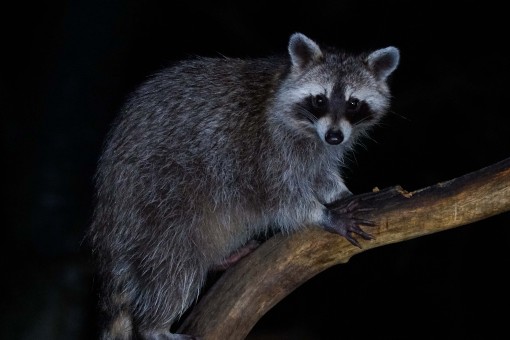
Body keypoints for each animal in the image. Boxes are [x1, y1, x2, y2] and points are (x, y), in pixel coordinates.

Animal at [89, 32, 400, 340]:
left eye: (353, 103)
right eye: (320, 100)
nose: (334, 136)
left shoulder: (316, 151)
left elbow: (319, 175)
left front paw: (340, 192)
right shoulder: (261, 149)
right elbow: (281, 198)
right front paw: (322, 214)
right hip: (156, 203)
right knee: (173, 263)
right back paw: (155, 327)